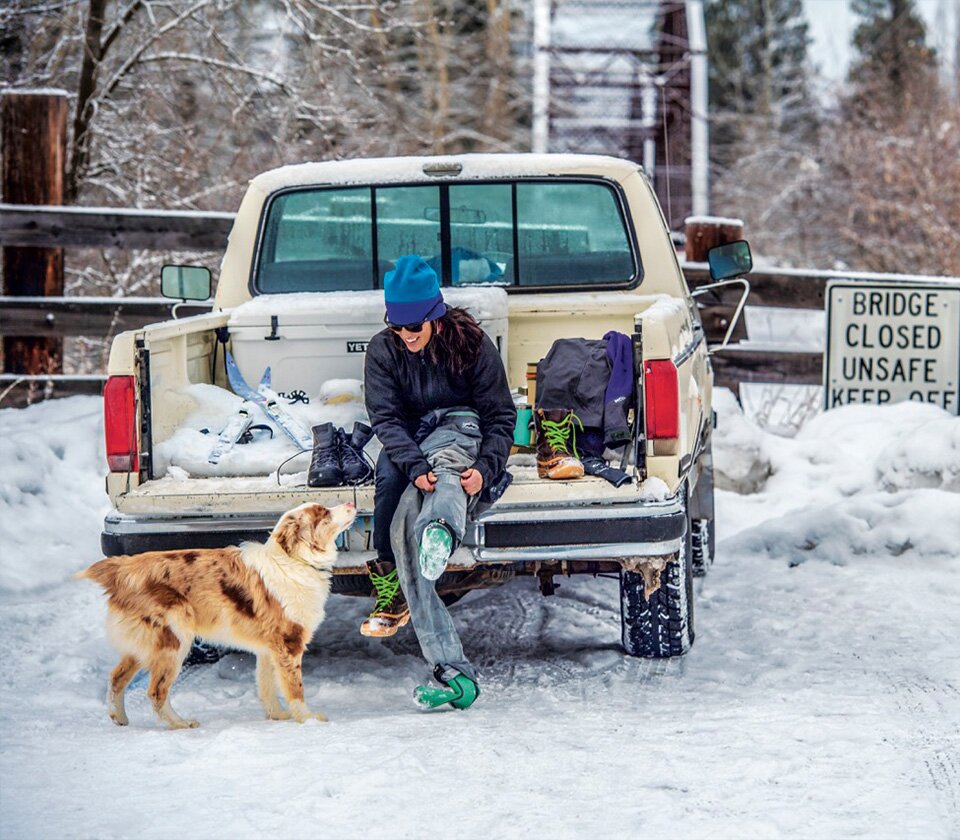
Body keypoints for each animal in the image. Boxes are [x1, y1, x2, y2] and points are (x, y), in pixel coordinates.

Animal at [78, 498, 356, 728]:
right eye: (323, 513)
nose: (352, 502)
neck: (296, 560)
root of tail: (124, 569)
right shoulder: (289, 643)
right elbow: (294, 688)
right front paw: (308, 719)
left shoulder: (269, 648)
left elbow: (266, 686)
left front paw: (277, 716)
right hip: (174, 641)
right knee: (156, 691)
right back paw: (180, 724)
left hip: (145, 645)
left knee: (116, 677)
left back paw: (120, 718)